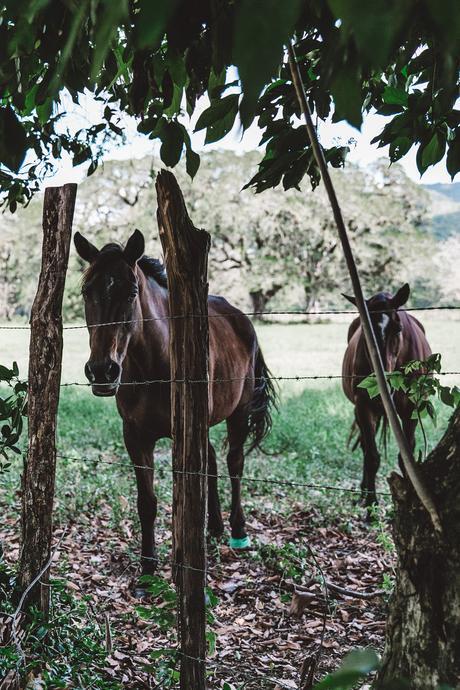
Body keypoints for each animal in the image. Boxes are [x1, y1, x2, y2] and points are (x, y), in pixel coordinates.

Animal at [342, 284, 432, 506]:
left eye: (397, 329)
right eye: (365, 331)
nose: (383, 382)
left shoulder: (411, 409)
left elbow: (406, 458)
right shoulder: (364, 406)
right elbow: (372, 456)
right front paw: (371, 503)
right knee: (365, 446)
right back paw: (364, 491)